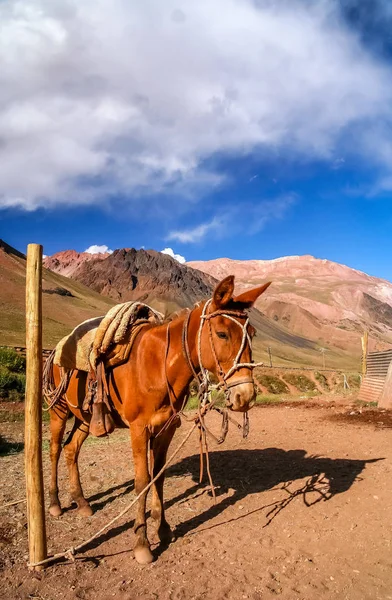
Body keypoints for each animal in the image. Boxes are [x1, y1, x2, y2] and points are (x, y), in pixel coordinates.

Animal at [47, 276, 272, 564]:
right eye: (222, 334)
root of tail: (57, 350)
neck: (158, 365)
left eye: (252, 334)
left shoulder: (166, 428)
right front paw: (142, 543)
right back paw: (55, 504)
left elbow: (159, 476)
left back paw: (82, 502)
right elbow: (142, 481)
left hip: (85, 419)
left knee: (71, 449)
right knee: (55, 449)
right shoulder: (139, 429)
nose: (245, 396)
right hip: (59, 411)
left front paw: (162, 528)